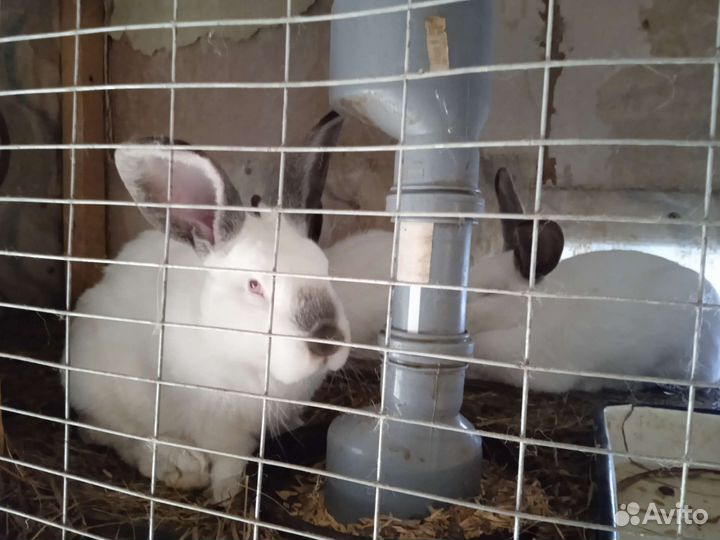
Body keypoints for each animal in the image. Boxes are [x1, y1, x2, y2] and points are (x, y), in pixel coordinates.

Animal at [63, 111, 351, 503]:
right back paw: (180, 466)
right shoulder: (221, 430)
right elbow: (230, 462)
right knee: (114, 435)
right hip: (104, 395)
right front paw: (224, 496)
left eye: (324, 267)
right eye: (255, 285)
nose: (327, 339)